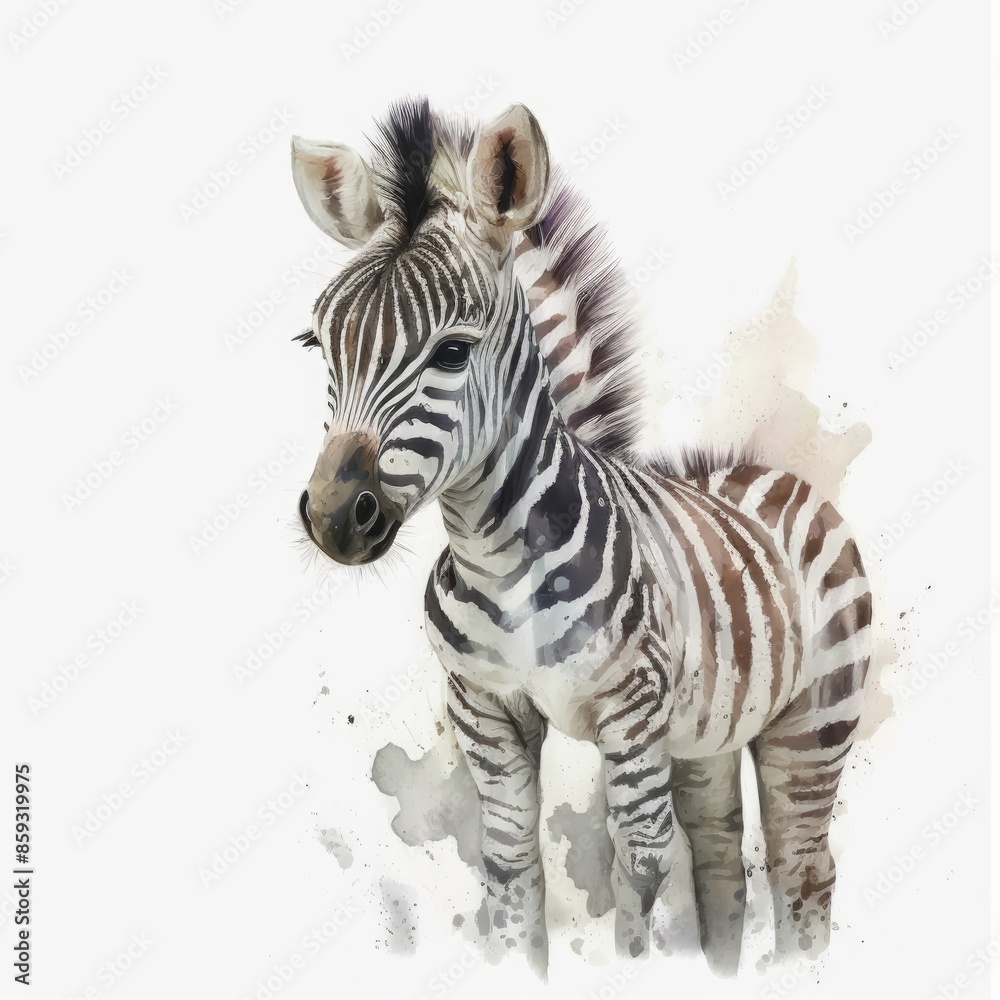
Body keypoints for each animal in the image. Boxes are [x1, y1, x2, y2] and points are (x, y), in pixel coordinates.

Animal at [289, 97, 872, 977]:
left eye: (452, 352)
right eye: (319, 345)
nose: (332, 516)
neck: (497, 563)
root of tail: (761, 471)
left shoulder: (630, 719)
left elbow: (637, 874)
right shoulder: (485, 711)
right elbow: (510, 872)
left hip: (812, 722)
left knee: (803, 868)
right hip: (707, 733)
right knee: (721, 861)